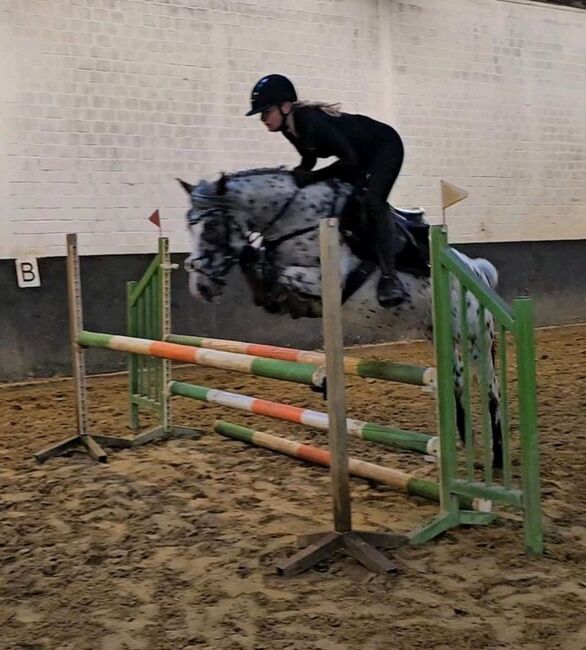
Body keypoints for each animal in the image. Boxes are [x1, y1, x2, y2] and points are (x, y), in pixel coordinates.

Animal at [178, 167, 502, 466]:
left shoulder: (325, 280)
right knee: (457, 386)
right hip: (440, 333)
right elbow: (261, 269)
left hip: (474, 338)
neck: (295, 220)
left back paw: (496, 456)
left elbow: (276, 270)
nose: (200, 288)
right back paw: (465, 447)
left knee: (490, 389)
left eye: (211, 227)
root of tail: (474, 270)